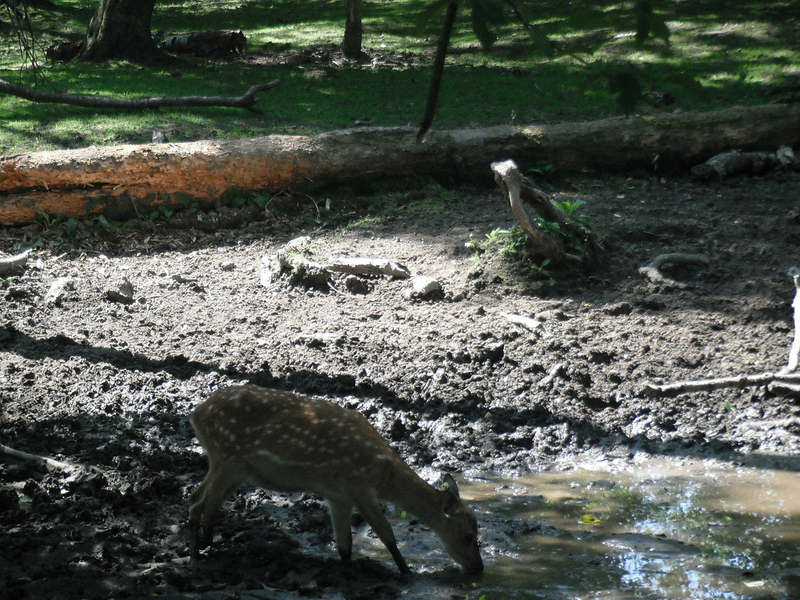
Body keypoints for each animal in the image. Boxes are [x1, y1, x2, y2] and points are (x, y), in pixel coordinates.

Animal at [187, 384, 484, 575]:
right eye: (468, 536)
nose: (479, 568)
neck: (385, 475)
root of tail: (195, 413)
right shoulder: (359, 487)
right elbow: (387, 534)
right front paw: (406, 573)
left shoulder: (338, 496)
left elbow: (345, 547)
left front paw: (347, 570)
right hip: (228, 457)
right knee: (200, 503)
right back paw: (199, 554)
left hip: (235, 468)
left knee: (199, 499)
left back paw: (204, 546)